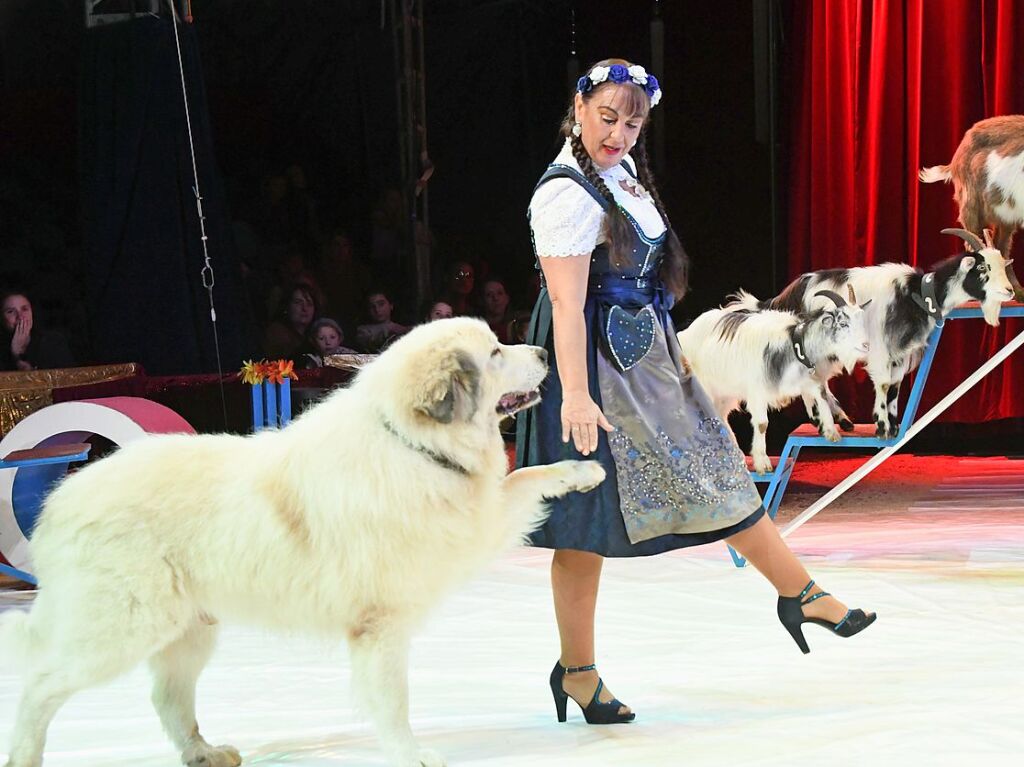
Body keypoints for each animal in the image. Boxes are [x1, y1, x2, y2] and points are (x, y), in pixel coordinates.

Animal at [0, 317, 602, 765]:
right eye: (496, 352)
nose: (545, 352)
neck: (410, 443)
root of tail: (61, 501)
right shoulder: (382, 623)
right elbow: (393, 702)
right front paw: (410, 754)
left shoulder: (475, 517)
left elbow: (524, 477)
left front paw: (582, 472)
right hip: (120, 628)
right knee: (40, 684)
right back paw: (26, 754)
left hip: (188, 631)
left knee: (167, 698)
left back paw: (204, 752)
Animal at [675, 286, 868, 473]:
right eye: (843, 324)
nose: (866, 344)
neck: (795, 345)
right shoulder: (757, 392)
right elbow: (762, 424)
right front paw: (762, 463)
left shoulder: (806, 380)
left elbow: (821, 395)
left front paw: (830, 430)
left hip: (723, 394)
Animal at [757, 229, 1011, 436]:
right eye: (982, 267)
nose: (1009, 290)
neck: (914, 293)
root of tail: (783, 298)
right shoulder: (881, 349)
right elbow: (883, 384)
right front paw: (881, 427)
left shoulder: (900, 353)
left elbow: (895, 387)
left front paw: (894, 425)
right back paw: (821, 422)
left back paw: (844, 421)